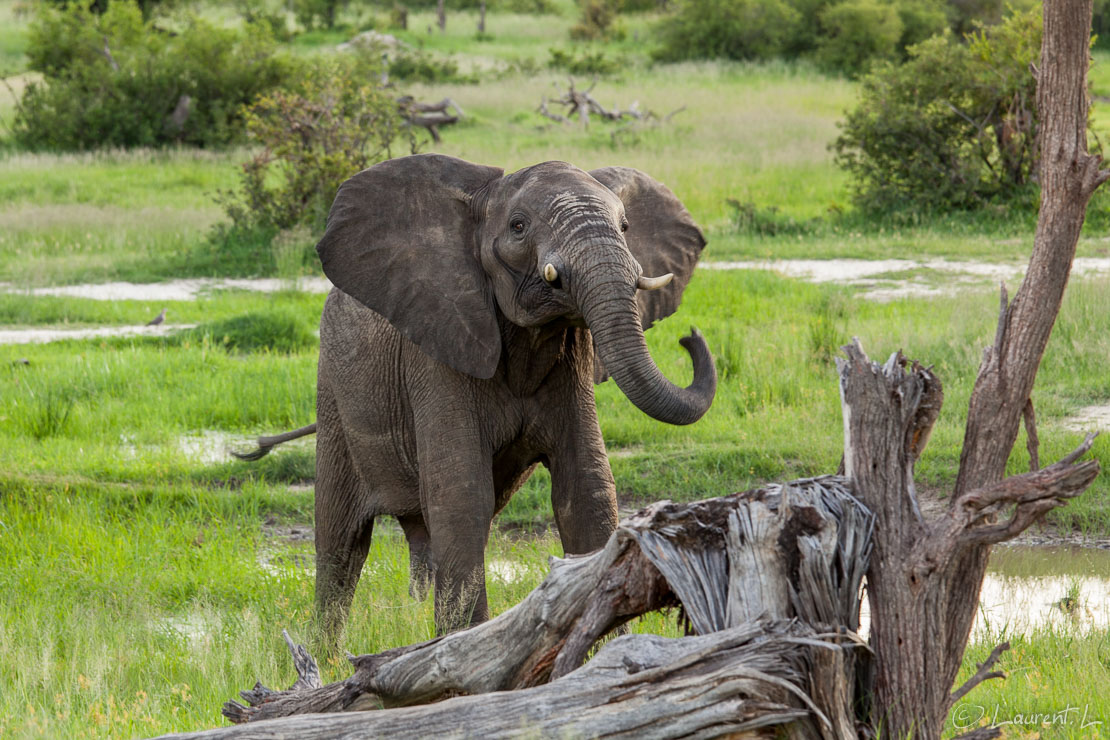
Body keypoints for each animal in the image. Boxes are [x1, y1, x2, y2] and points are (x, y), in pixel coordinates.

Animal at [240, 153, 719, 639]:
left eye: (624, 226)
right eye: (518, 226)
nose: (689, 338)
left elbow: (586, 490)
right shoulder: (438, 353)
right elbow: (462, 495)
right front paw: (463, 646)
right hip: (334, 395)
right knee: (340, 543)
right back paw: (326, 651)